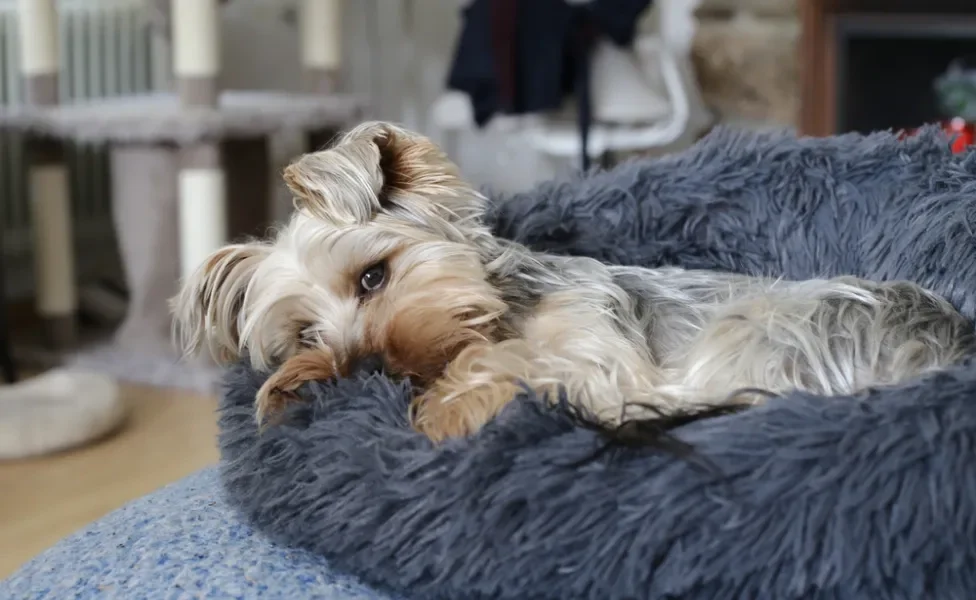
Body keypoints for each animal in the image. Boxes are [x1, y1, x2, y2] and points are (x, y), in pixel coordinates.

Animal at [172, 122, 976, 442]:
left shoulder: (599, 353)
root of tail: (952, 344)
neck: (504, 307)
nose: (359, 373)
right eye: (304, 335)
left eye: (374, 276)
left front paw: (443, 410)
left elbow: (515, 365)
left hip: (761, 334)